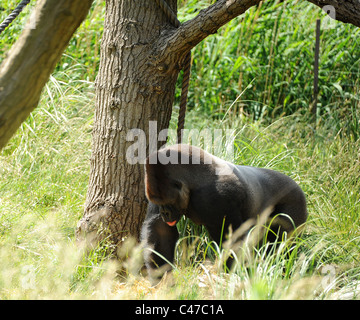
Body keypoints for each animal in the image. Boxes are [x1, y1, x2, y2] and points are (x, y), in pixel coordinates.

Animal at [141, 144, 306, 280]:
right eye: (160, 204)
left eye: (168, 203)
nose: (164, 213)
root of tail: (297, 185)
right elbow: (160, 231)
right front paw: (161, 278)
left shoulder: (216, 195)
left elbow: (232, 240)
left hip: (295, 200)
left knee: (283, 243)